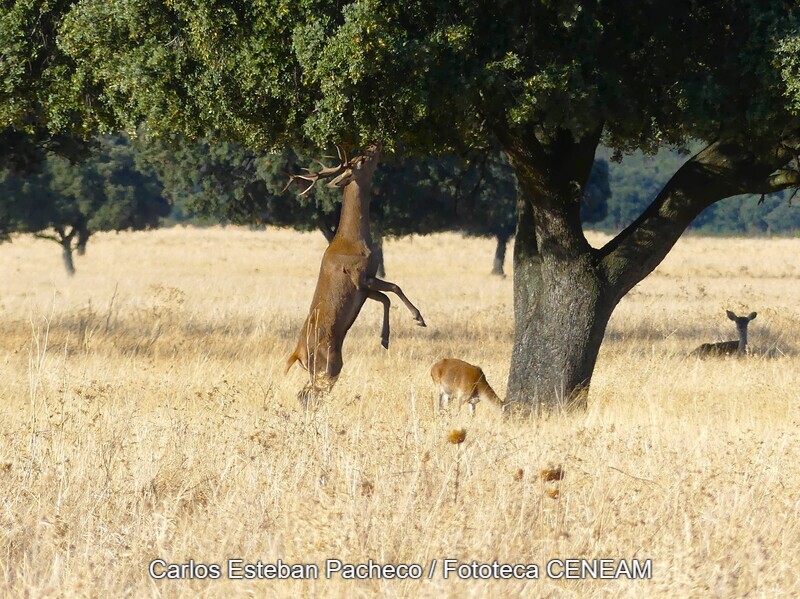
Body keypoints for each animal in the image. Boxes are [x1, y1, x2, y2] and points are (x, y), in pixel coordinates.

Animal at [286, 145, 428, 406]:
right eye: (360, 160)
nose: (375, 144)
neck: (354, 240)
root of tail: (296, 354)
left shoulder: (364, 287)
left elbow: (386, 297)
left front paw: (385, 339)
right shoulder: (359, 276)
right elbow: (395, 288)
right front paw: (419, 318)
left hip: (328, 367)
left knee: (304, 394)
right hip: (327, 365)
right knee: (309, 394)